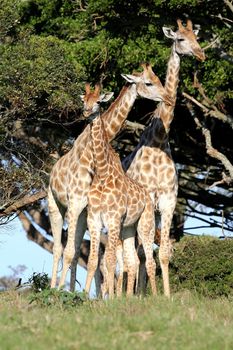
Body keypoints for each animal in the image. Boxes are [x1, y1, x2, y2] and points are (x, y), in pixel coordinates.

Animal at [84, 111, 157, 298]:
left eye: (95, 106)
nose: (87, 112)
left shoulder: (113, 220)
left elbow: (111, 263)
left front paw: (111, 298)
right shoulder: (94, 220)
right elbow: (95, 261)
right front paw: (85, 295)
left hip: (145, 225)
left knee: (149, 261)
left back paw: (158, 295)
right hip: (128, 228)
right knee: (133, 261)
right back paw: (129, 296)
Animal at [121, 19, 205, 298]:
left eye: (196, 37)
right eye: (180, 39)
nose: (201, 54)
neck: (159, 139)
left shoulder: (168, 202)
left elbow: (164, 252)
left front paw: (165, 296)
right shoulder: (149, 202)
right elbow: (145, 252)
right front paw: (150, 294)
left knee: (139, 251)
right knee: (128, 252)